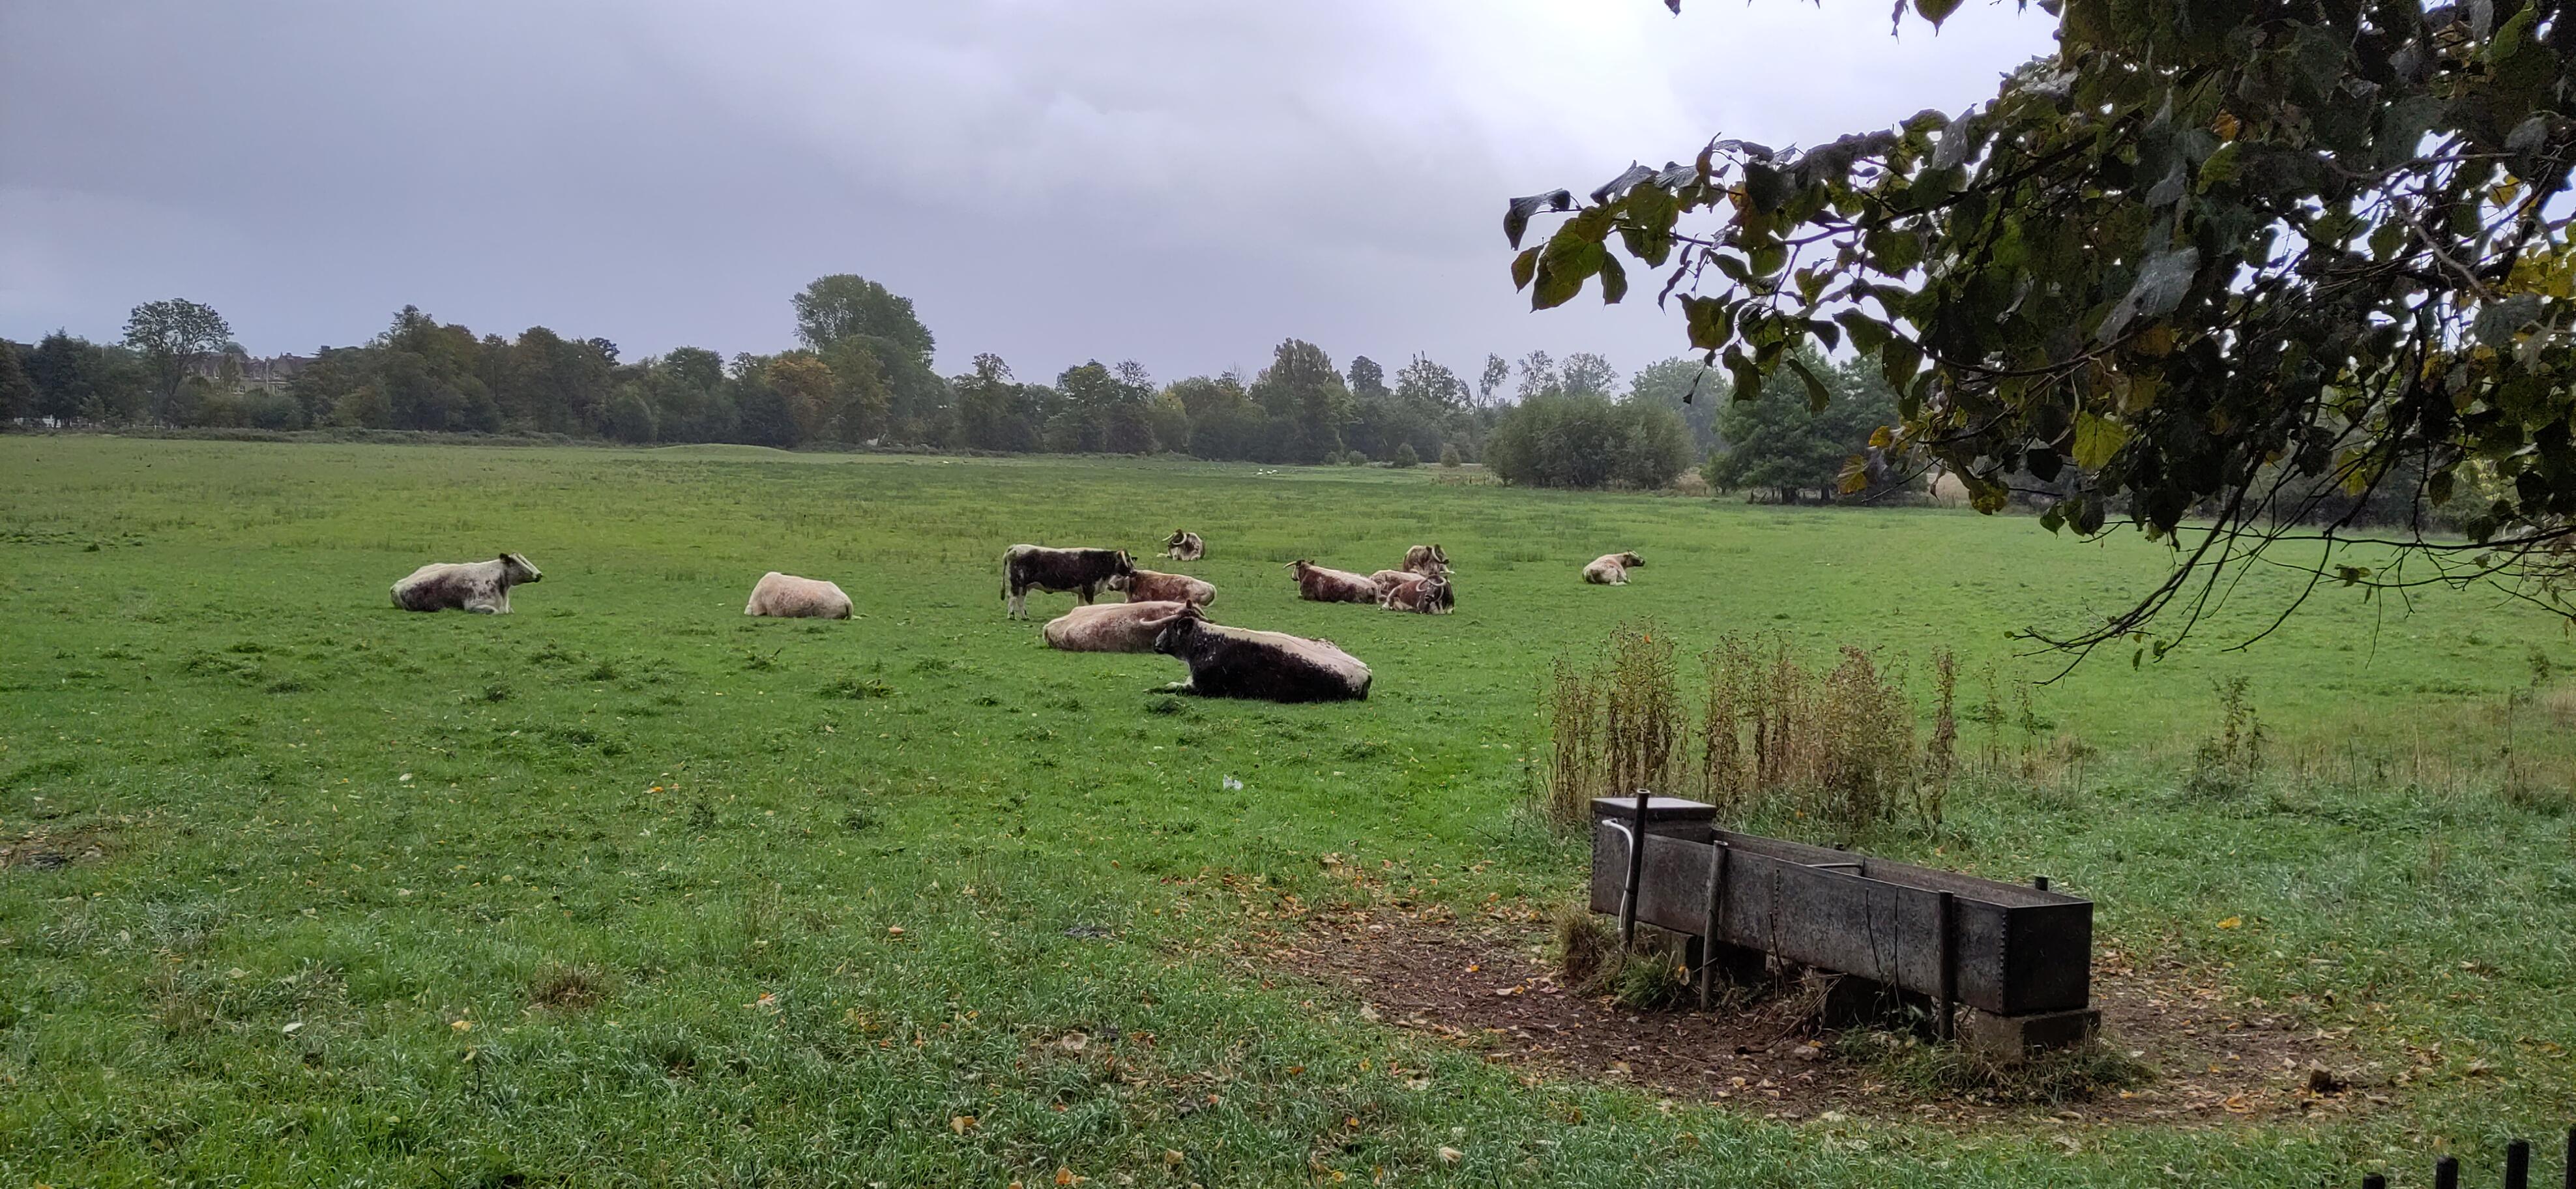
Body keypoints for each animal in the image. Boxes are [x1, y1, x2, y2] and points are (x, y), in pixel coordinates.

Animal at [391, 553, 541, 614]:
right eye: (516, 562)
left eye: (524, 560)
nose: (539, 574)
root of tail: (396, 586)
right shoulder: (474, 606)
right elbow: (496, 612)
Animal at [1002, 545, 1136, 619]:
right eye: (1126, 560)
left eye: (1131, 559)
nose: (1134, 572)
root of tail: (1014, 548)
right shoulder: (1089, 588)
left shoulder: (1082, 592)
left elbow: (1081, 605)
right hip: (1017, 583)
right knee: (1013, 597)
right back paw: (1011, 616)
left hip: (1024, 586)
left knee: (1020, 600)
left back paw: (1025, 617)